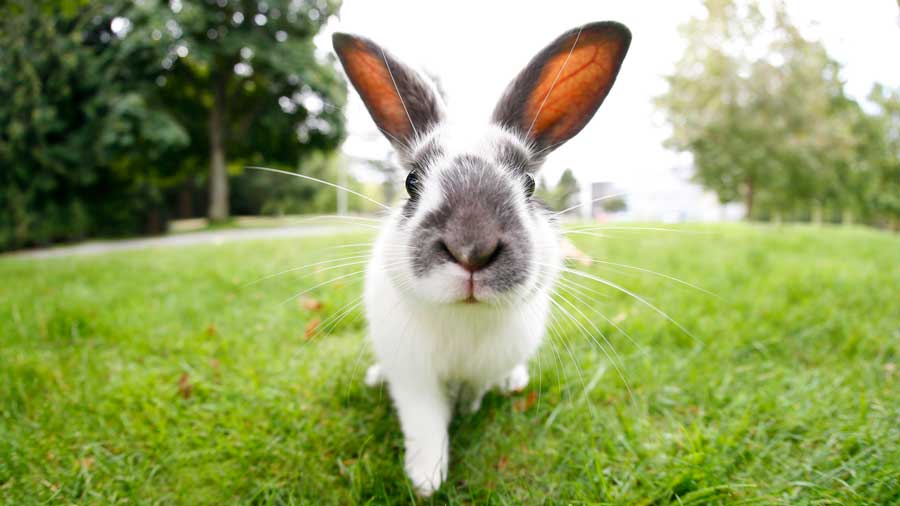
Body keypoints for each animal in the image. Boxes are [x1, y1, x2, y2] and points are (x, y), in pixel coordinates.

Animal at [332, 21, 631, 496]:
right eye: (412, 182)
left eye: (529, 184)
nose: (471, 248)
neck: (464, 317)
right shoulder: (414, 379)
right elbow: (426, 424)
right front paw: (425, 480)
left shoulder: (482, 369)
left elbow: (472, 394)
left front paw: (466, 414)